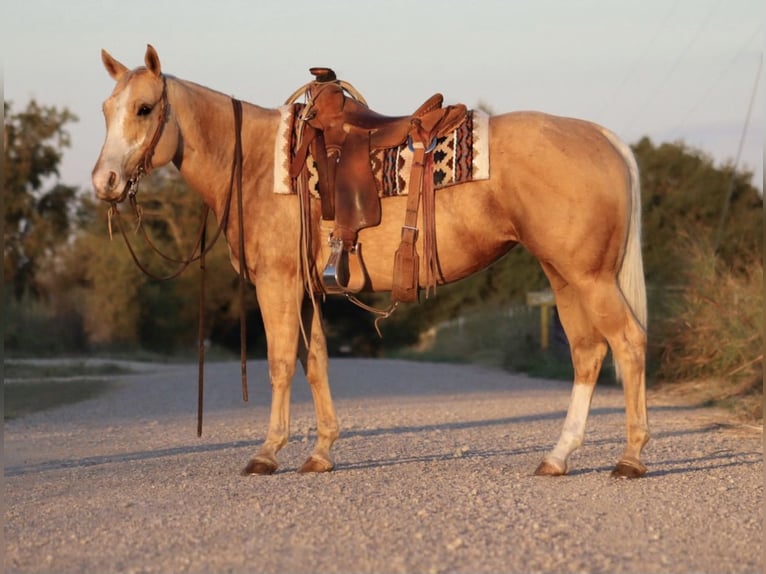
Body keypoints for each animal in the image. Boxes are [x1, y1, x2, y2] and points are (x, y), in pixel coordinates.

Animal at [93, 46, 652, 482]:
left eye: (144, 108)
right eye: (105, 108)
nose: (105, 182)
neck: (251, 162)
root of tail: (605, 138)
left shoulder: (278, 284)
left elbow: (280, 364)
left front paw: (267, 453)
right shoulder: (309, 290)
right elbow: (316, 362)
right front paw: (320, 453)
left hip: (589, 278)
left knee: (627, 342)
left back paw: (630, 458)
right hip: (564, 276)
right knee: (587, 352)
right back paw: (558, 457)